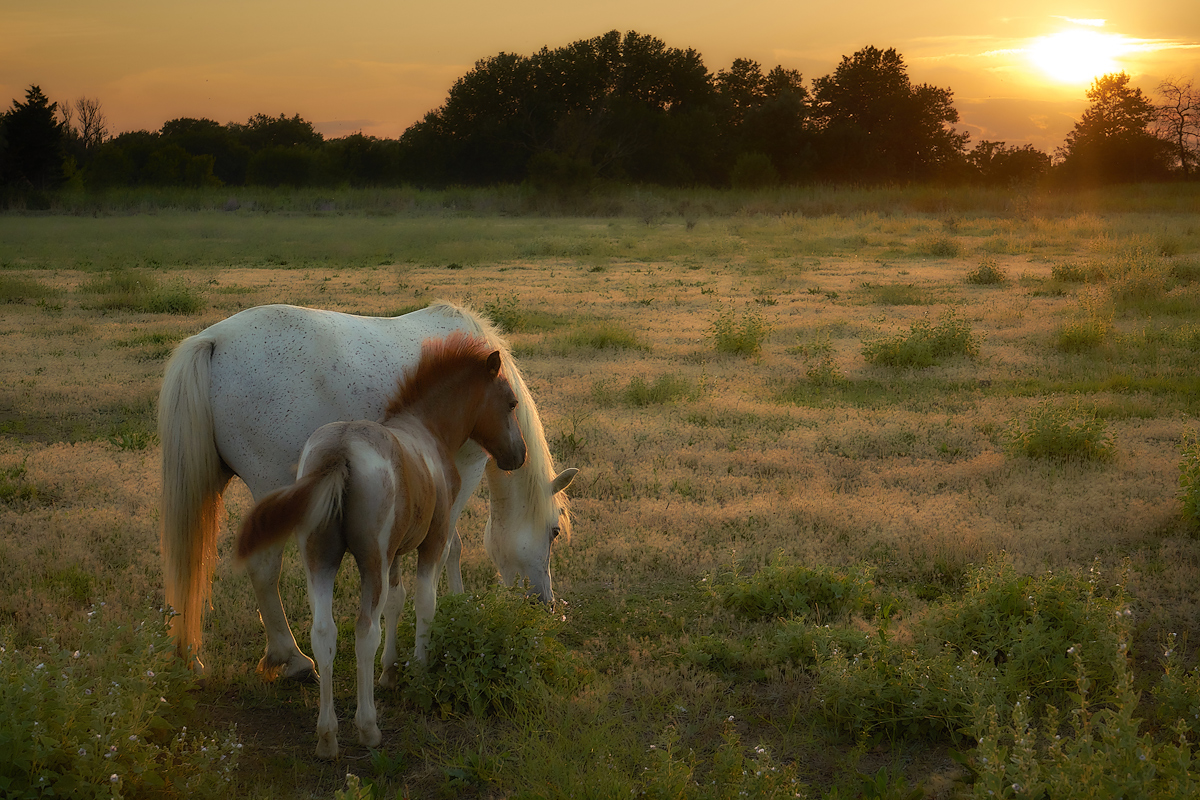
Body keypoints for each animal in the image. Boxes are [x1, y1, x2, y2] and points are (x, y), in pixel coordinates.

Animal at [157, 303, 578, 681]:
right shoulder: (466, 468)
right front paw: (454, 610)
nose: (544, 604)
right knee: (263, 569)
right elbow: (450, 547)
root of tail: (213, 340)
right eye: (554, 532)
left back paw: (192, 657)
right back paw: (293, 660)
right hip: (270, 490)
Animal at [236, 335, 528, 762]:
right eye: (510, 402)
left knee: (324, 632)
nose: (518, 455)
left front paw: (390, 671)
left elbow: (396, 599)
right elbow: (424, 602)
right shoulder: (432, 541)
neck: (427, 429)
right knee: (363, 631)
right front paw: (419, 668)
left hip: (319, 558)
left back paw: (327, 736)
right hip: (370, 559)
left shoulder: (395, 552)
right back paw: (367, 727)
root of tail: (338, 452)